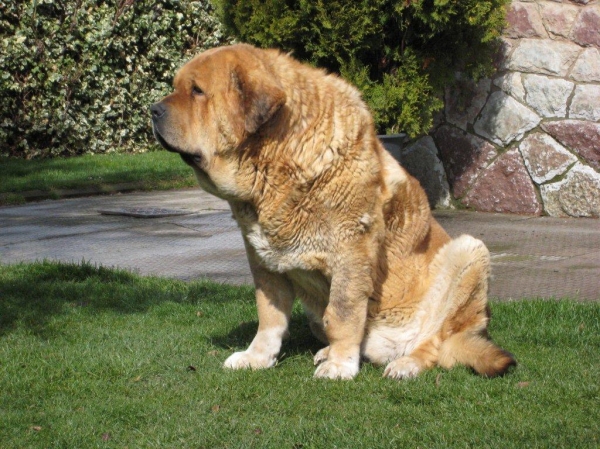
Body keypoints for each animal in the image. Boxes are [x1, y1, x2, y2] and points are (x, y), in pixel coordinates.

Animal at [151, 43, 516, 378]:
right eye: (177, 87)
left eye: (197, 91)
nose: (153, 109)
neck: (276, 164)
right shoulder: (262, 259)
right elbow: (269, 315)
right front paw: (257, 357)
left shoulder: (351, 251)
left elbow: (342, 313)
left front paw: (340, 365)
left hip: (469, 252)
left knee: (436, 342)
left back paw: (405, 364)